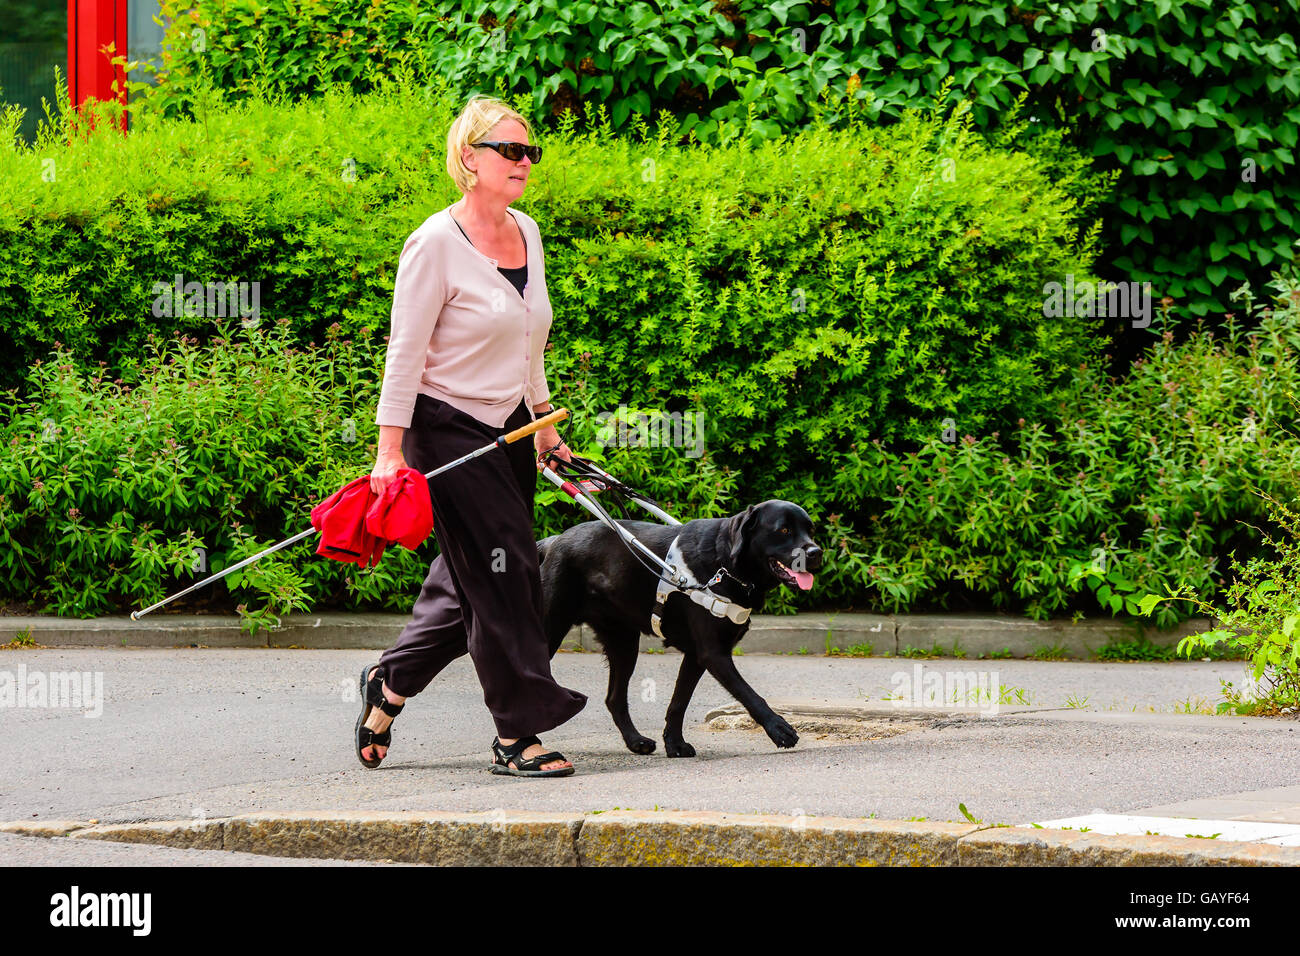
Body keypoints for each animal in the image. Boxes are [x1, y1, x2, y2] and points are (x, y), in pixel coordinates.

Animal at [535, 502, 821, 754]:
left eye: (811, 529)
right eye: (784, 530)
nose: (816, 552)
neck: (726, 564)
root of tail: (554, 541)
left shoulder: (696, 656)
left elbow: (679, 702)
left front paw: (674, 744)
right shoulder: (714, 653)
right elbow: (748, 693)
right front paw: (778, 728)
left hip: (624, 643)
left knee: (614, 698)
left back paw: (635, 741)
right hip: (550, 629)